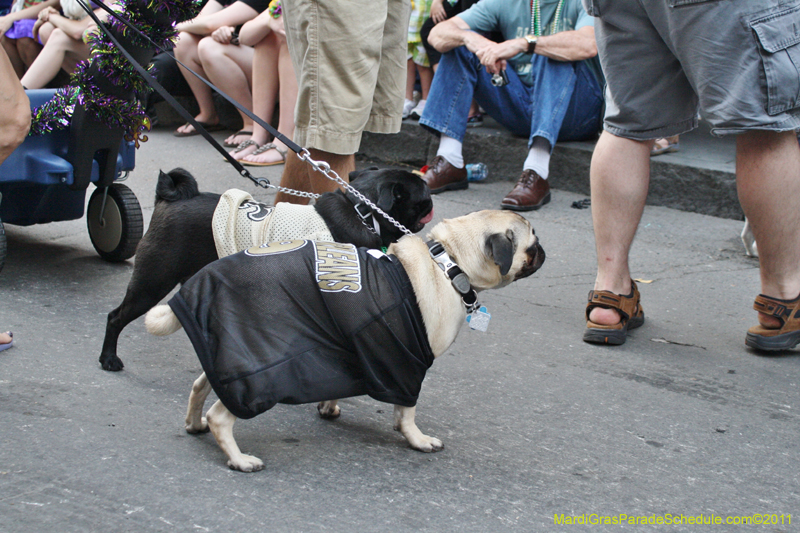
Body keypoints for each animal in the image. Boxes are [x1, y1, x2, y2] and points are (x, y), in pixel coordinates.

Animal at [104, 166, 438, 370]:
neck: (362, 213)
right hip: (152, 282)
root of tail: (169, 200)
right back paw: (109, 358)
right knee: (115, 317)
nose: (433, 195)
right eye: (423, 194)